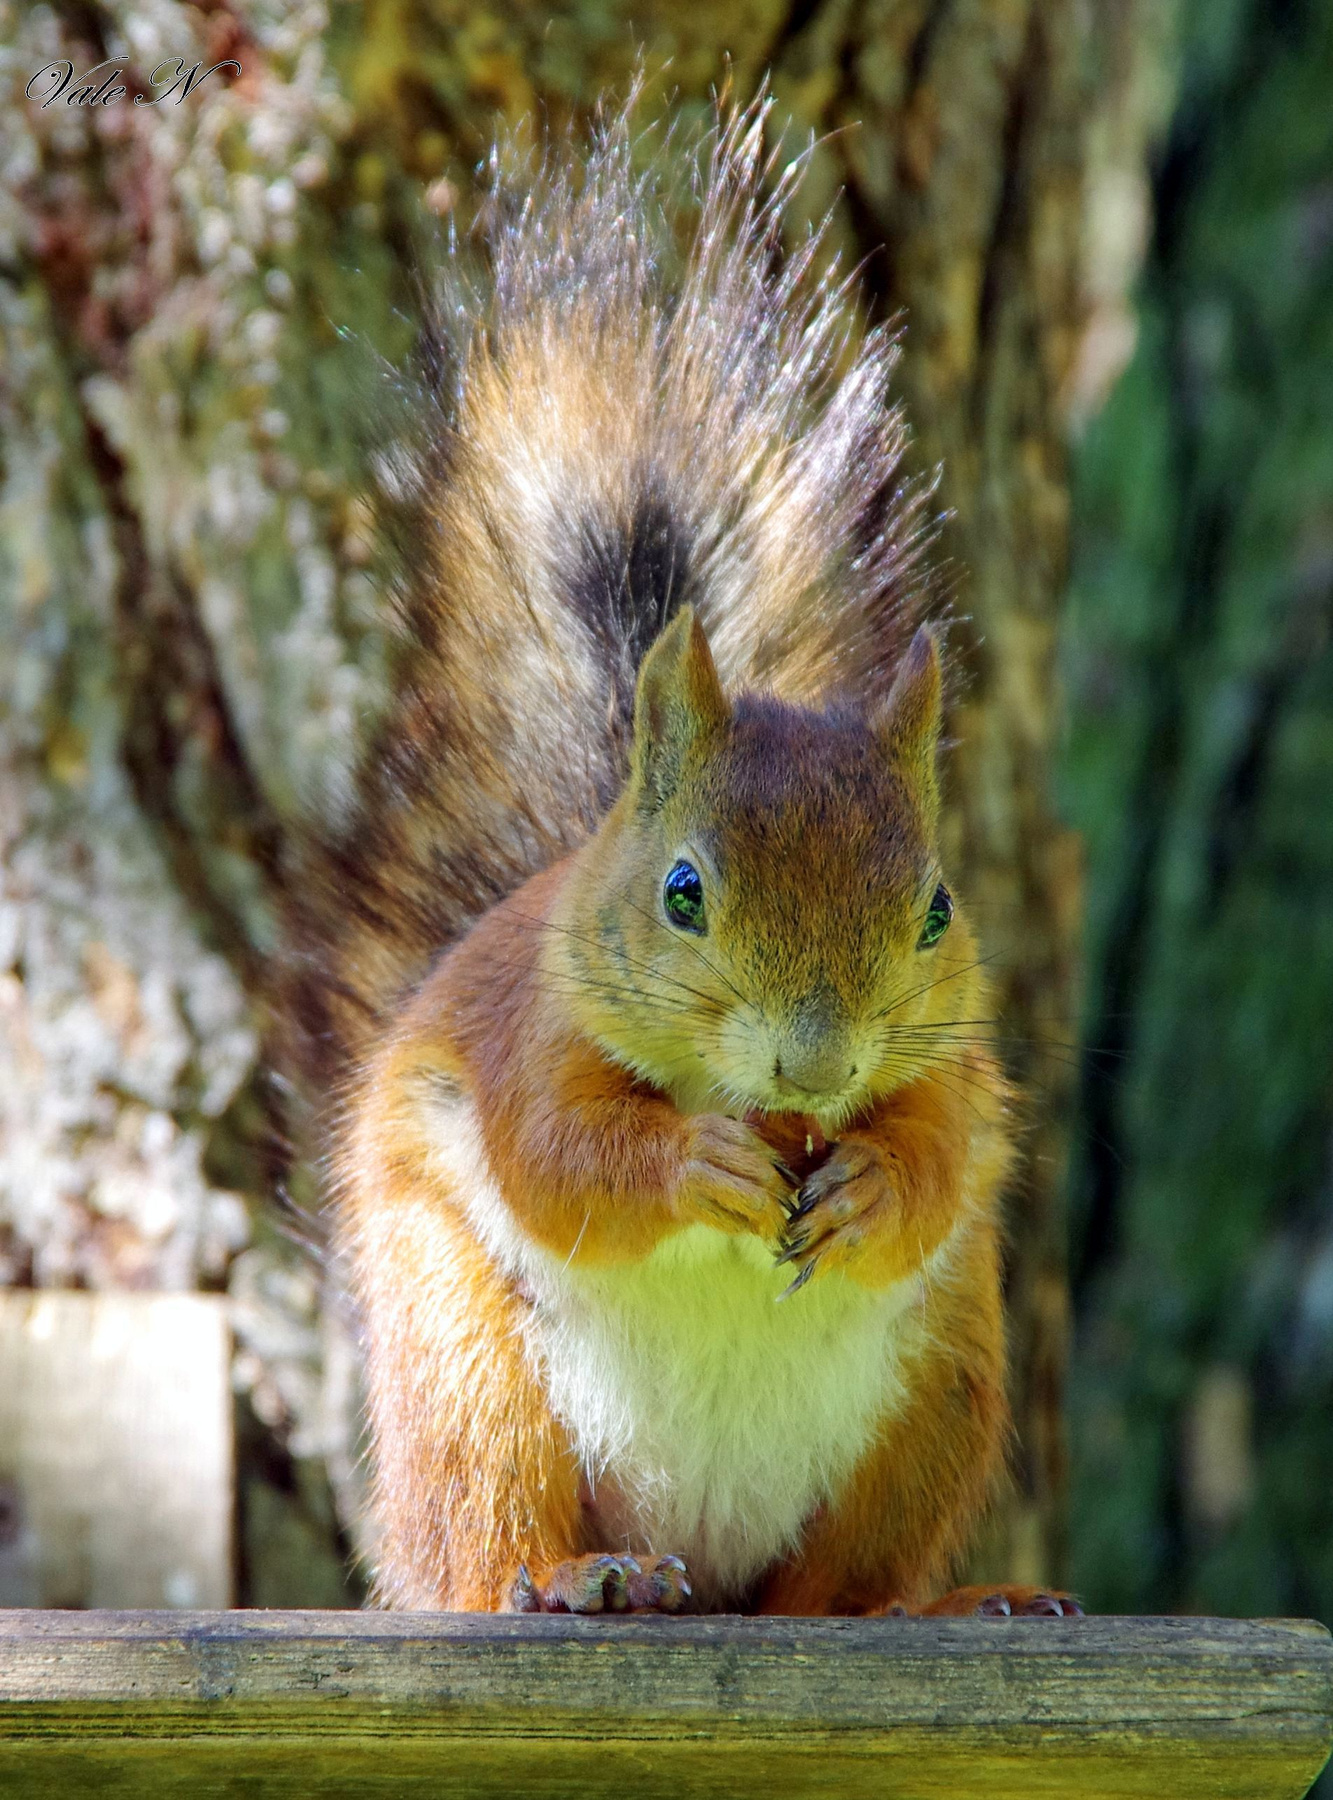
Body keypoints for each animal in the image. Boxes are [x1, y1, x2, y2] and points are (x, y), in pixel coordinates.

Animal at [285, 98, 1081, 1619]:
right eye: (683, 895)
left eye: (936, 907)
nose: (815, 1067)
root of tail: (700, 1563)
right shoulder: (520, 1038)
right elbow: (559, 1158)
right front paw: (693, 1162)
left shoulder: (955, 1069)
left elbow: (938, 1161)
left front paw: (870, 1181)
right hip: (466, 1375)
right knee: (476, 1539)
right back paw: (565, 1578)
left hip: (941, 1391)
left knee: (838, 1595)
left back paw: (957, 1601)